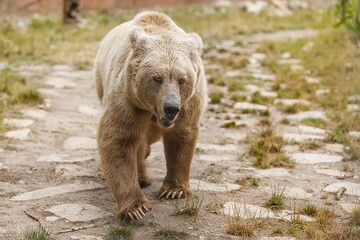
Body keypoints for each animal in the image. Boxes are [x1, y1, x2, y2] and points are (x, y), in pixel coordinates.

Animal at [94, 11, 207, 221]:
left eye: (182, 79)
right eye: (157, 78)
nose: (171, 108)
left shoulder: (189, 103)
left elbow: (181, 137)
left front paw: (174, 190)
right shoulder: (127, 99)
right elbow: (118, 139)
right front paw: (135, 208)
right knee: (138, 140)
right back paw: (141, 177)